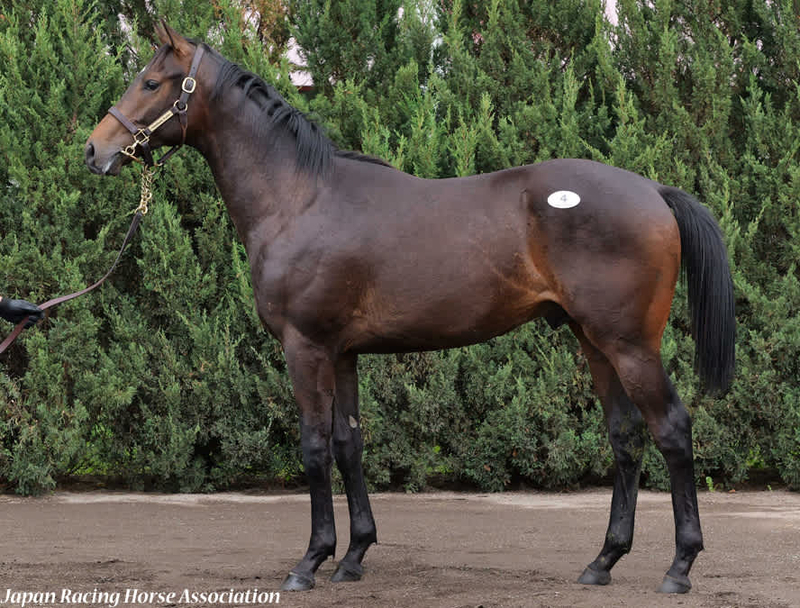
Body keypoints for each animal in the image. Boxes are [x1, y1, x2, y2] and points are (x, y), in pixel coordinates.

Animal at [85, 23, 735, 594]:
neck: (301, 198)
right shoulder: (342, 353)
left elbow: (313, 446)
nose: (94, 150)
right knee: (624, 436)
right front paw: (353, 556)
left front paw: (310, 561)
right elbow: (348, 444)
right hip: (594, 342)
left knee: (671, 430)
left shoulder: (305, 347)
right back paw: (602, 562)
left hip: (630, 345)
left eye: (150, 82)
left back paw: (679, 567)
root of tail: (653, 191)